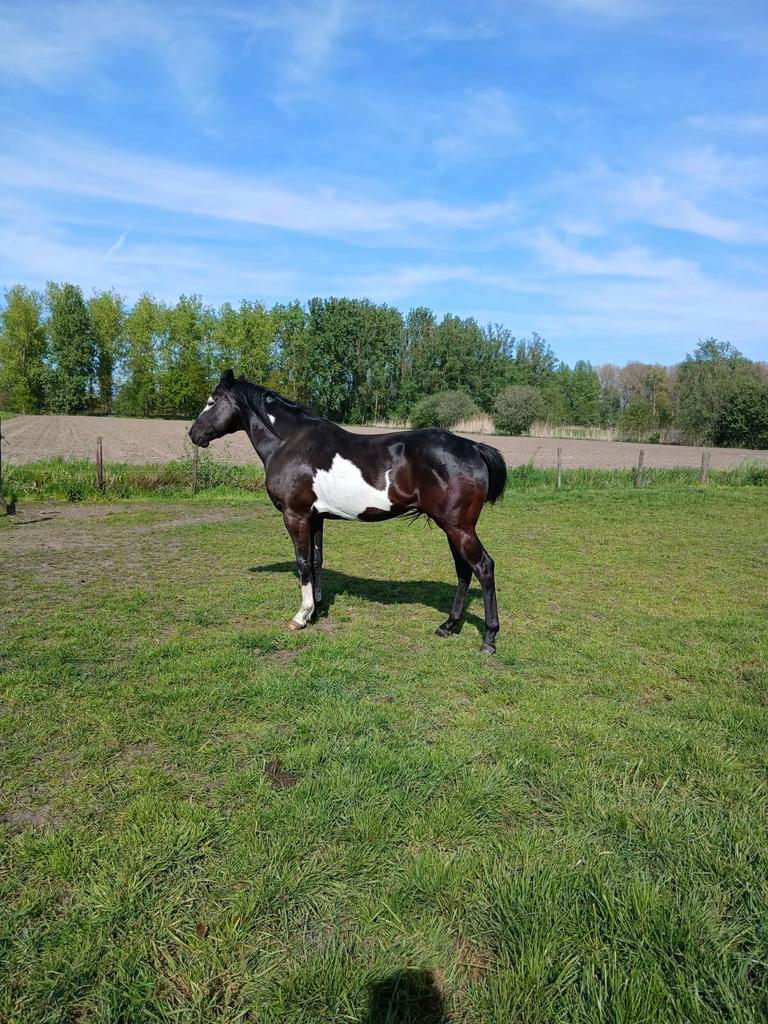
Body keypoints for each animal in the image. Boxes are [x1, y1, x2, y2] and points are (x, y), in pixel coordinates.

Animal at [189, 370, 506, 653]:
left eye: (211, 401)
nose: (193, 434)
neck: (291, 442)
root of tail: (472, 447)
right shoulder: (315, 517)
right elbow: (316, 561)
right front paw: (316, 610)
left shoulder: (295, 515)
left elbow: (302, 562)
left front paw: (300, 616)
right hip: (452, 528)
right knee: (464, 570)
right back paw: (448, 626)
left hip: (459, 528)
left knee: (483, 568)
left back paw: (489, 639)